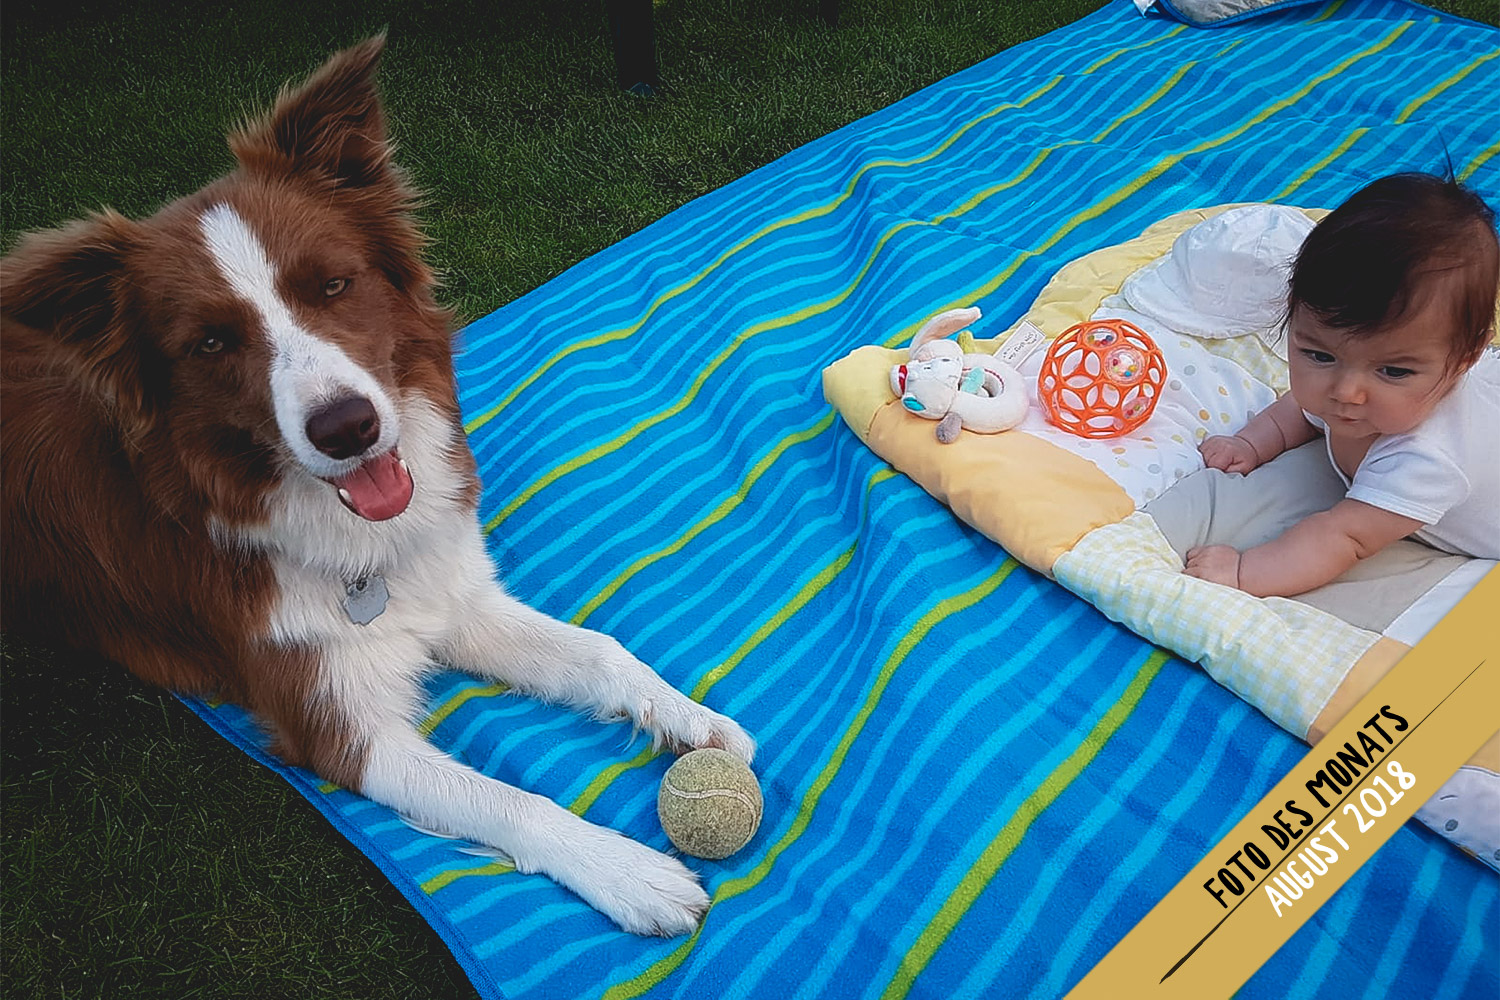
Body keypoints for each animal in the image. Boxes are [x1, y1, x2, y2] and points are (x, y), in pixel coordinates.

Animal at [0, 35, 750, 935]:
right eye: (211, 343)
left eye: (333, 284)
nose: (346, 428)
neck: (351, 542)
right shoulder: (336, 726)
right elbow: (505, 799)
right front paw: (631, 872)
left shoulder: (448, 595)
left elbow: (599, 652)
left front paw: (692, 719)